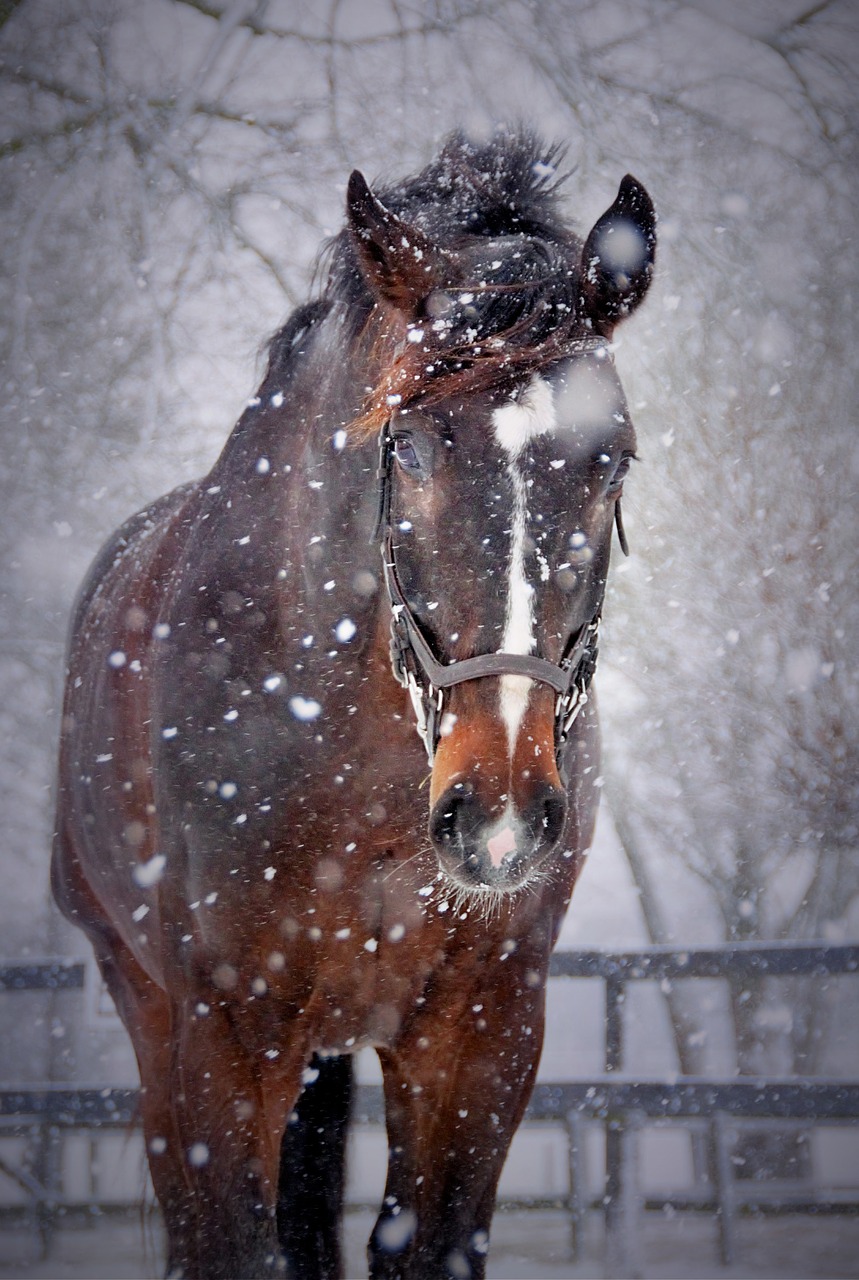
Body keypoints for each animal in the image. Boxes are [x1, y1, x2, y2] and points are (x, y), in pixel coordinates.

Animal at [53, 132, 655, 1280]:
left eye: (614, 457)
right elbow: (238, 1250)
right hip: (145, 1007)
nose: (499, 817)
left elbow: (424, 1243)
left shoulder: (483, 1033)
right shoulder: (223, 1037)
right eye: (409, 447)